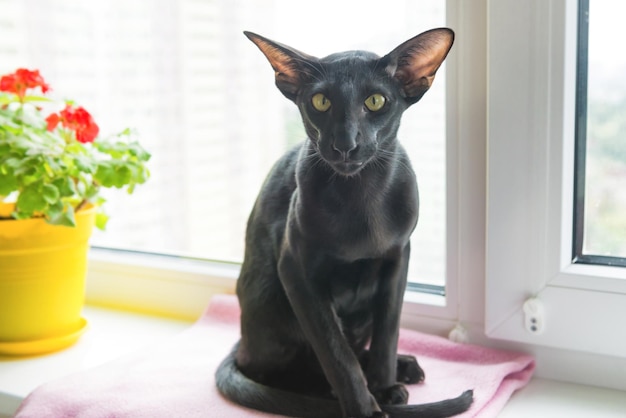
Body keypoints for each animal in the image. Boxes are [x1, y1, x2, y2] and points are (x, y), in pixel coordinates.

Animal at [216, 29, 472, 418]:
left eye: (376, 101)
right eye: (320, 102)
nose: (345, 144)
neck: (361, 197)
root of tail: (241, 343)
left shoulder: (398, 258)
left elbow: (387, 333)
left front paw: (383, 387)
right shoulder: (298, 271)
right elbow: (336, 355)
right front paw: (365, 407)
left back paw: (403, 368)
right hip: (273, 298)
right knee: (277, 371)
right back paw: (325, 391)